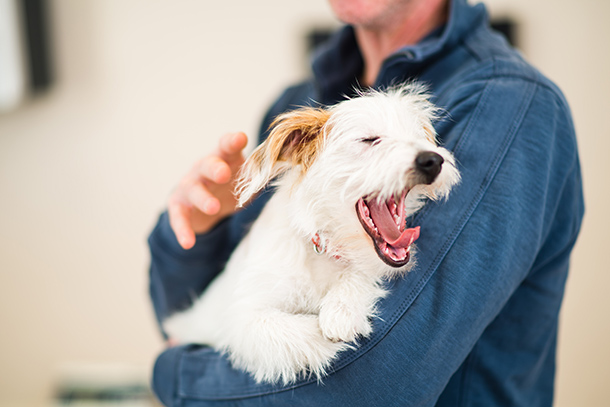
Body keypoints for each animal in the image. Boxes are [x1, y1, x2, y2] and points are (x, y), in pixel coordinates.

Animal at [164, 83, 458, 386]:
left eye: (420, 138)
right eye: (369, 140)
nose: (432, 160)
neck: (321, 252)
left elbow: (361, 273)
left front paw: (342, 308)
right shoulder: (243, 319)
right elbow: (295, 331)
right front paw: (331, 329)